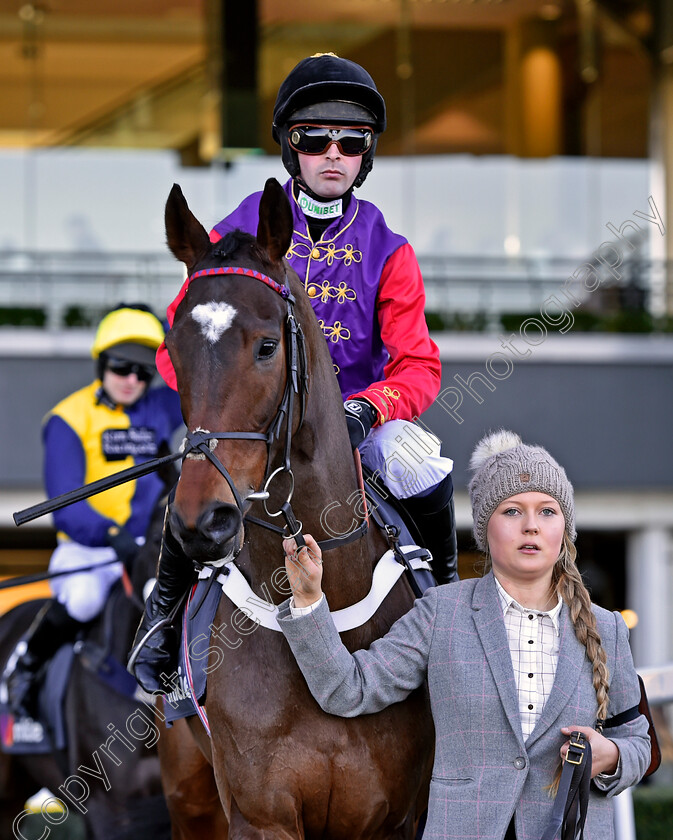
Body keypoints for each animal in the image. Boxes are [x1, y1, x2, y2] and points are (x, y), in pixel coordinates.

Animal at [158, 179, 434, 840]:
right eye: (173, 349)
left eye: (266, 346)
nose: (201, 521)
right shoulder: (259, 813)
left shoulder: (393, 818)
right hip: (190, 794)